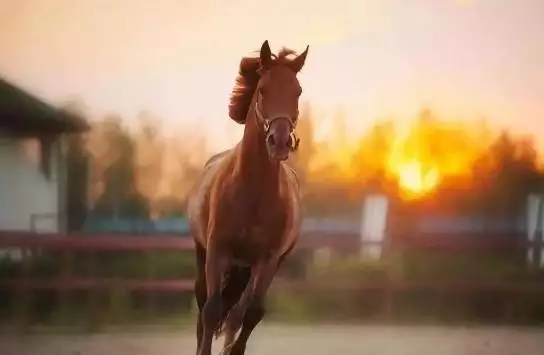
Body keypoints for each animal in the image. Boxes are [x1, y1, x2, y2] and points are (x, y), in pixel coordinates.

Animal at [186, 41, 306, 355]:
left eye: (298, 91)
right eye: (262, 89)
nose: (280, 141)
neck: (253, 191)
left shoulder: (267, 260)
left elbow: (250, 314)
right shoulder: (217, 251)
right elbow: (211, 310)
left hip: (252, 267)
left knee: (236, 314)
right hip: (204, 253)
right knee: (203, 304)